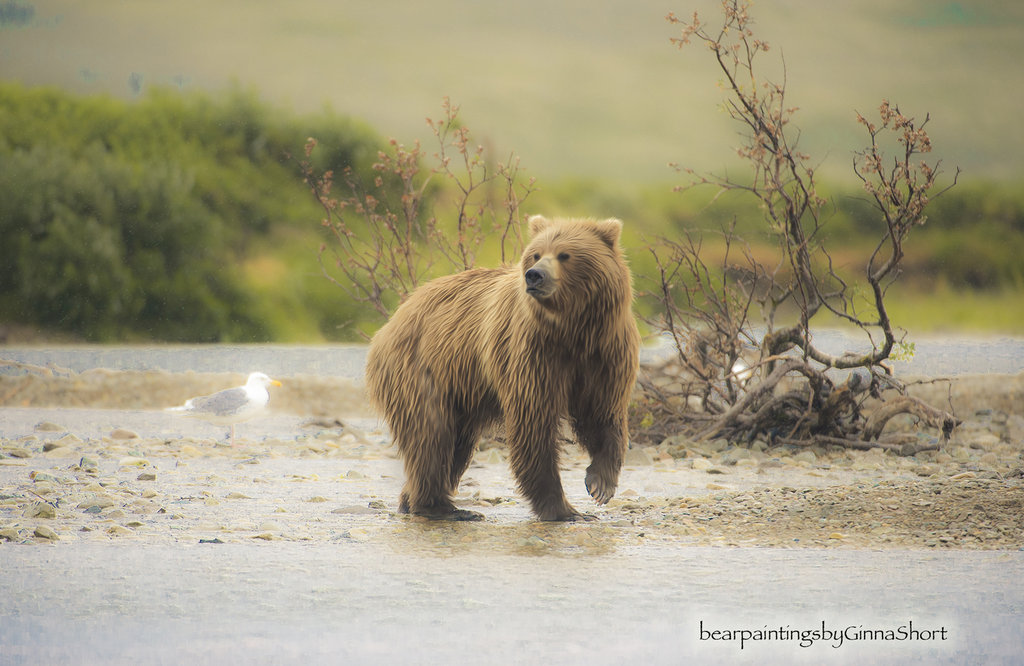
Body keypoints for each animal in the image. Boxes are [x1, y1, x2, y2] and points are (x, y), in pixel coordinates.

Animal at [365, 215, 640, 521]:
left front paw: (600, 485)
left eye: (564, 254)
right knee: (432, 438)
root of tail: (394, 318)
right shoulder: (531, 353)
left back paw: (415, 500)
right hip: (421, 370)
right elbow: (533, 425)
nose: (534, 275)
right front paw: (564, 509)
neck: (571, 329)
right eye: (536, 254)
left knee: (456, 445)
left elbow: (602, 412)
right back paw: (443, 507)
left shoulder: (605, 352)